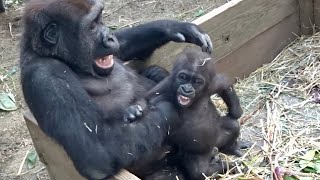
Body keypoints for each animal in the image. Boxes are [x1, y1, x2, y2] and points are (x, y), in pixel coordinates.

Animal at [18, 0, 211, 180]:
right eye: (92, 26)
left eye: (100, 19)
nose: (110, 37)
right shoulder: (43, 77)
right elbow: (97, 154)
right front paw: (167, 109)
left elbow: (123, 46)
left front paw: (175, 27)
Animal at [125, 47, 242, 179]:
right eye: (183, 77)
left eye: (197, 81)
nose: (187, 89)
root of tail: (214, 146)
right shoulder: (167, 85)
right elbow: (147, 99)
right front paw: (133, 110)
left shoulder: (211, 84)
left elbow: (224, 84)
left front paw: (236, 111)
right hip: (199, 154)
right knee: (200, 172)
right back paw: (229, 165)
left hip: (217, 137)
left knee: (233, 125)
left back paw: (232, 148)